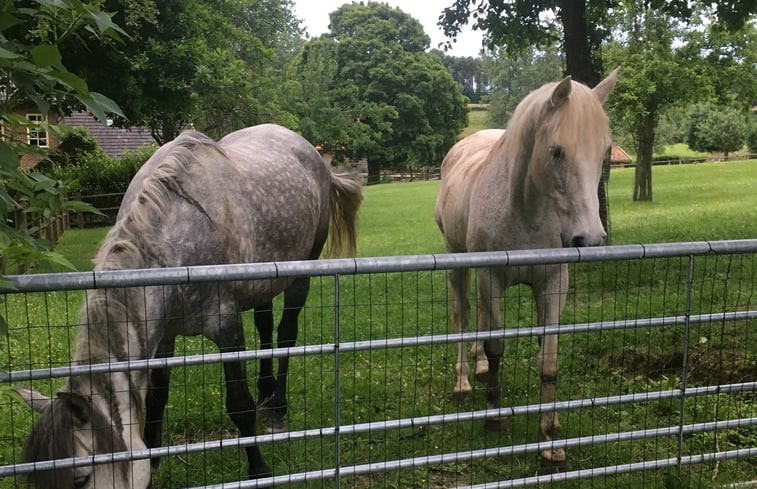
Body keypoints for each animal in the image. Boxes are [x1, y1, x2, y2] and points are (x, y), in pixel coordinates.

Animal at [15, 124, 364, 486]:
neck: (176, 234)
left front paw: (259, 468)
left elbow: (239, 405)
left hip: (301, 274)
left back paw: (277, 408)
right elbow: (156, 397)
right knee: (266, 327)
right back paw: (266, 394)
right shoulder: (163, 335)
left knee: (285, 333)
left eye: (80, 478)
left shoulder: (226, 328)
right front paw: (154, 459)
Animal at [434, 68, 616, 468]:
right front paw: (494, 417)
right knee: (462, 314)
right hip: (457, 262)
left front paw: (550, 437)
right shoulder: (490, 277)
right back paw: (464, 381)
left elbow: (548, 361)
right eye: (557, 151)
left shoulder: (553, 283)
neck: (526, 212)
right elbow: (497, 347)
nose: (589, 239)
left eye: (605, 151)